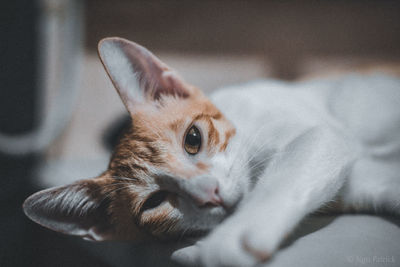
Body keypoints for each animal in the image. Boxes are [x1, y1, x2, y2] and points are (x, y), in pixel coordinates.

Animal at [23, 37, 400, 266]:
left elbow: (283, 177)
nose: (210, 193)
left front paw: (230, 239)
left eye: (193, 139)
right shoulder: (369, 181)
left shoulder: (319, 134)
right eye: (154, 202)